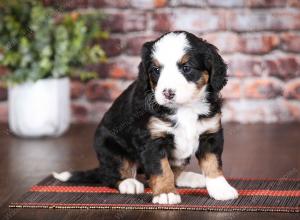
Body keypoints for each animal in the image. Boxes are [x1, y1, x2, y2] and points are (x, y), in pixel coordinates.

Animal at [52, 31, 238, 205]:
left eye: (186, 68)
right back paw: (128, 183)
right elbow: (162, 169)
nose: (167, 93)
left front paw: (221, 189)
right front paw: (166, 193)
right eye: (156, 70)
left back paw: (192, 178)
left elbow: (213, 164)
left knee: (175, 172)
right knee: (111, 175)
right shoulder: (152, 140)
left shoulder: (210, 133)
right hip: (109, 147)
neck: (184, 108)